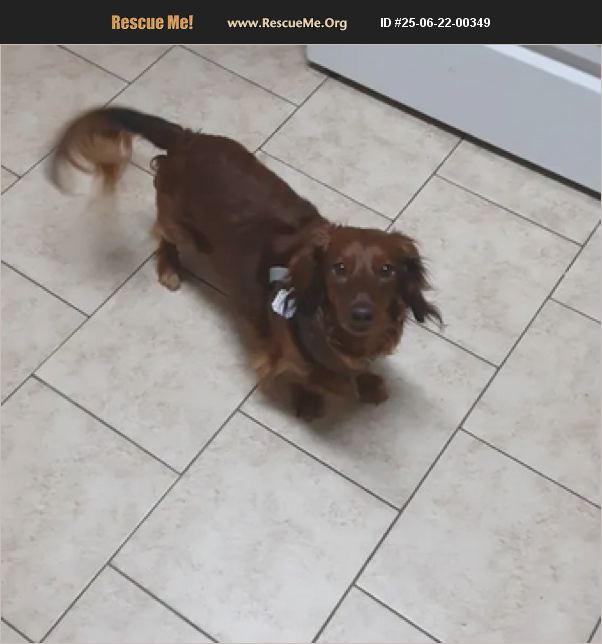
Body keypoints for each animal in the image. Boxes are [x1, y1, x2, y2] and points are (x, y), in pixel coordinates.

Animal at [50, 107, 441, 420]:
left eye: (387, 270)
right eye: (338, 269)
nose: (361, 315)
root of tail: (187, 139)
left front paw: (366, 381)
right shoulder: (280, 350)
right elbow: (311, 376)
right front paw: (318, 397)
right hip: (178, 224)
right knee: (164, 235)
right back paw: (170, 267)